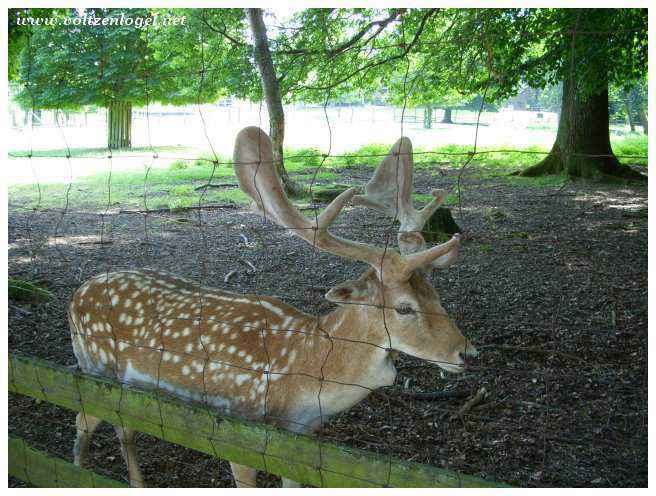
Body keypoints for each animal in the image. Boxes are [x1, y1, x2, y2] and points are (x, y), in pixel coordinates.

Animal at [68, 126, 476, 486]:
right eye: (404, 308)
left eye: (437, 296)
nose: (466, 353)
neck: (303, 371)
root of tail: (78, 294)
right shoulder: (236, 430)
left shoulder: (298, 437)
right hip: (95, 366)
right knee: (85, 420)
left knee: (123, 426)